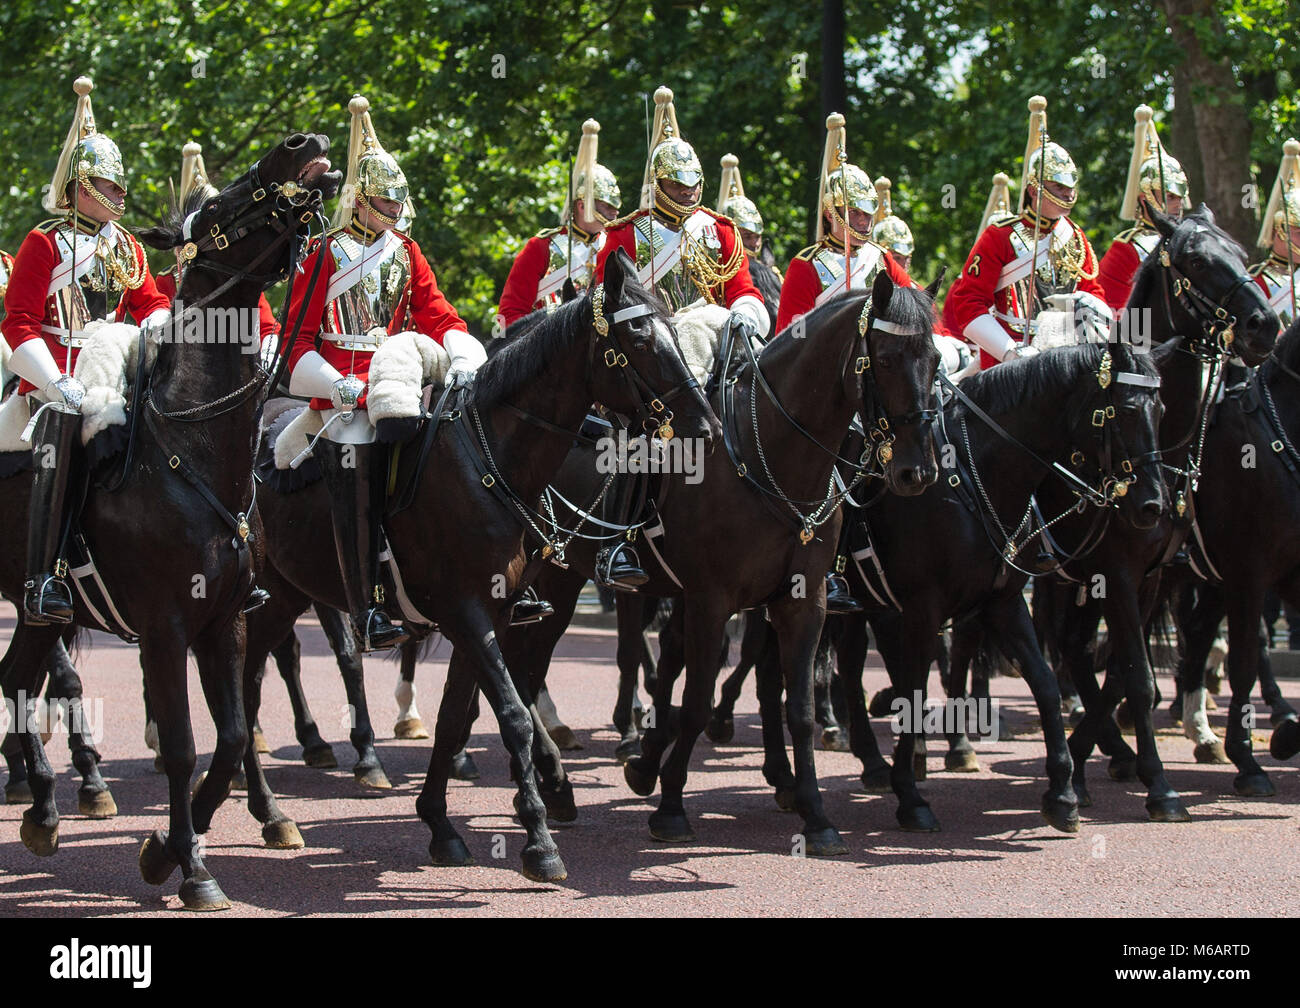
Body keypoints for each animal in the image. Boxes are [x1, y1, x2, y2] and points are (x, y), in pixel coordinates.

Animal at [0, 130, 340, 910]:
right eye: (216, 206)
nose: (302, 142)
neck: (192, 448)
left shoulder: (226, 620)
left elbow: (235, 736)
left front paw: (166, 851)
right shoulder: (164, 626)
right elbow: (184, 746)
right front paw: (191, 870)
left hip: (40, 611)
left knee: (17, 680)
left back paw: (43, 809)